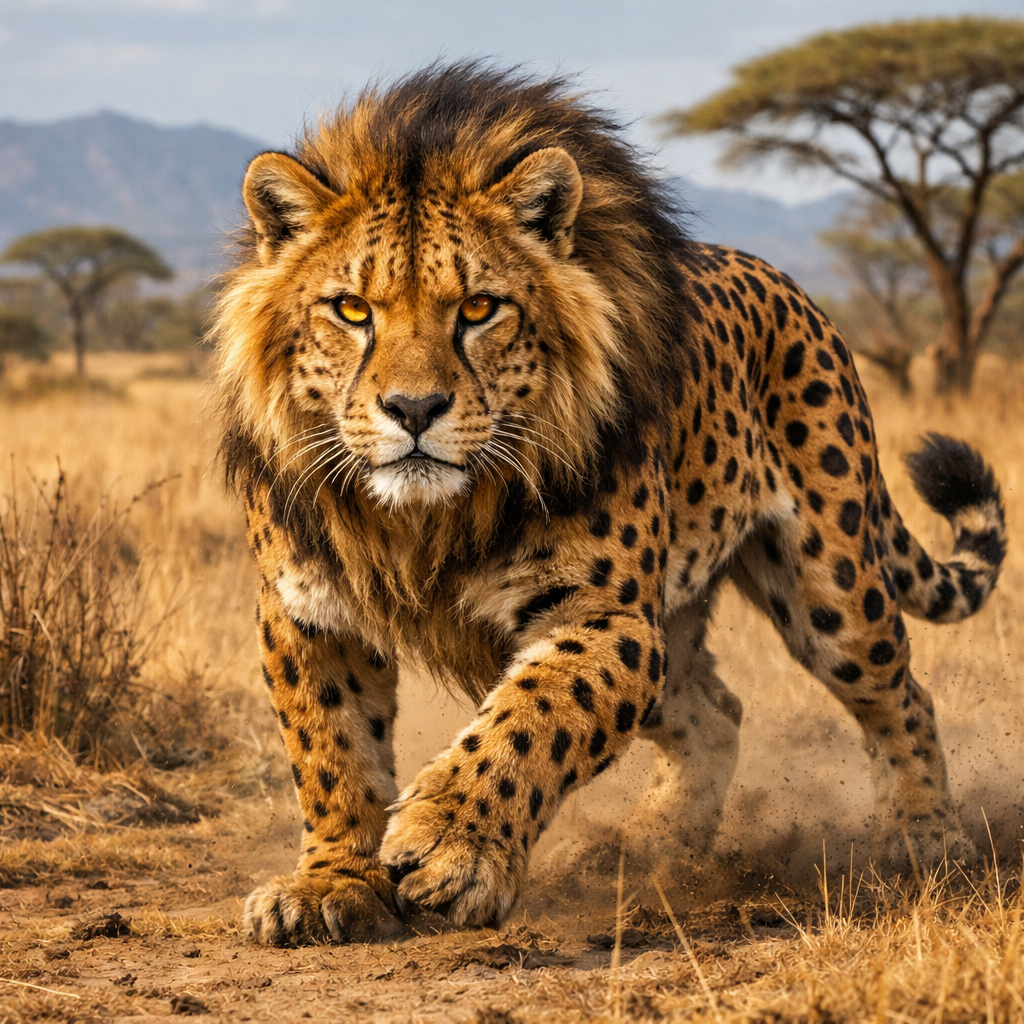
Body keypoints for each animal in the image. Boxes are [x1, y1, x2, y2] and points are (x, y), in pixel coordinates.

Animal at [213, 64, 1006, 946]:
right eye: (351, 310)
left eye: (479, 308)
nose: (414, 409)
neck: (421, 521)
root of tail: (788, 285)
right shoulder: (310, 613)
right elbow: (333, 752)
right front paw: (332, 883)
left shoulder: (603, 616)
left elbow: (531, 715)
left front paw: (452, 846)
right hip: (683, 624)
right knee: (715, 714)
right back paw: (653, 849)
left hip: (832, 590)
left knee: (900, 694)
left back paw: (924, 841)